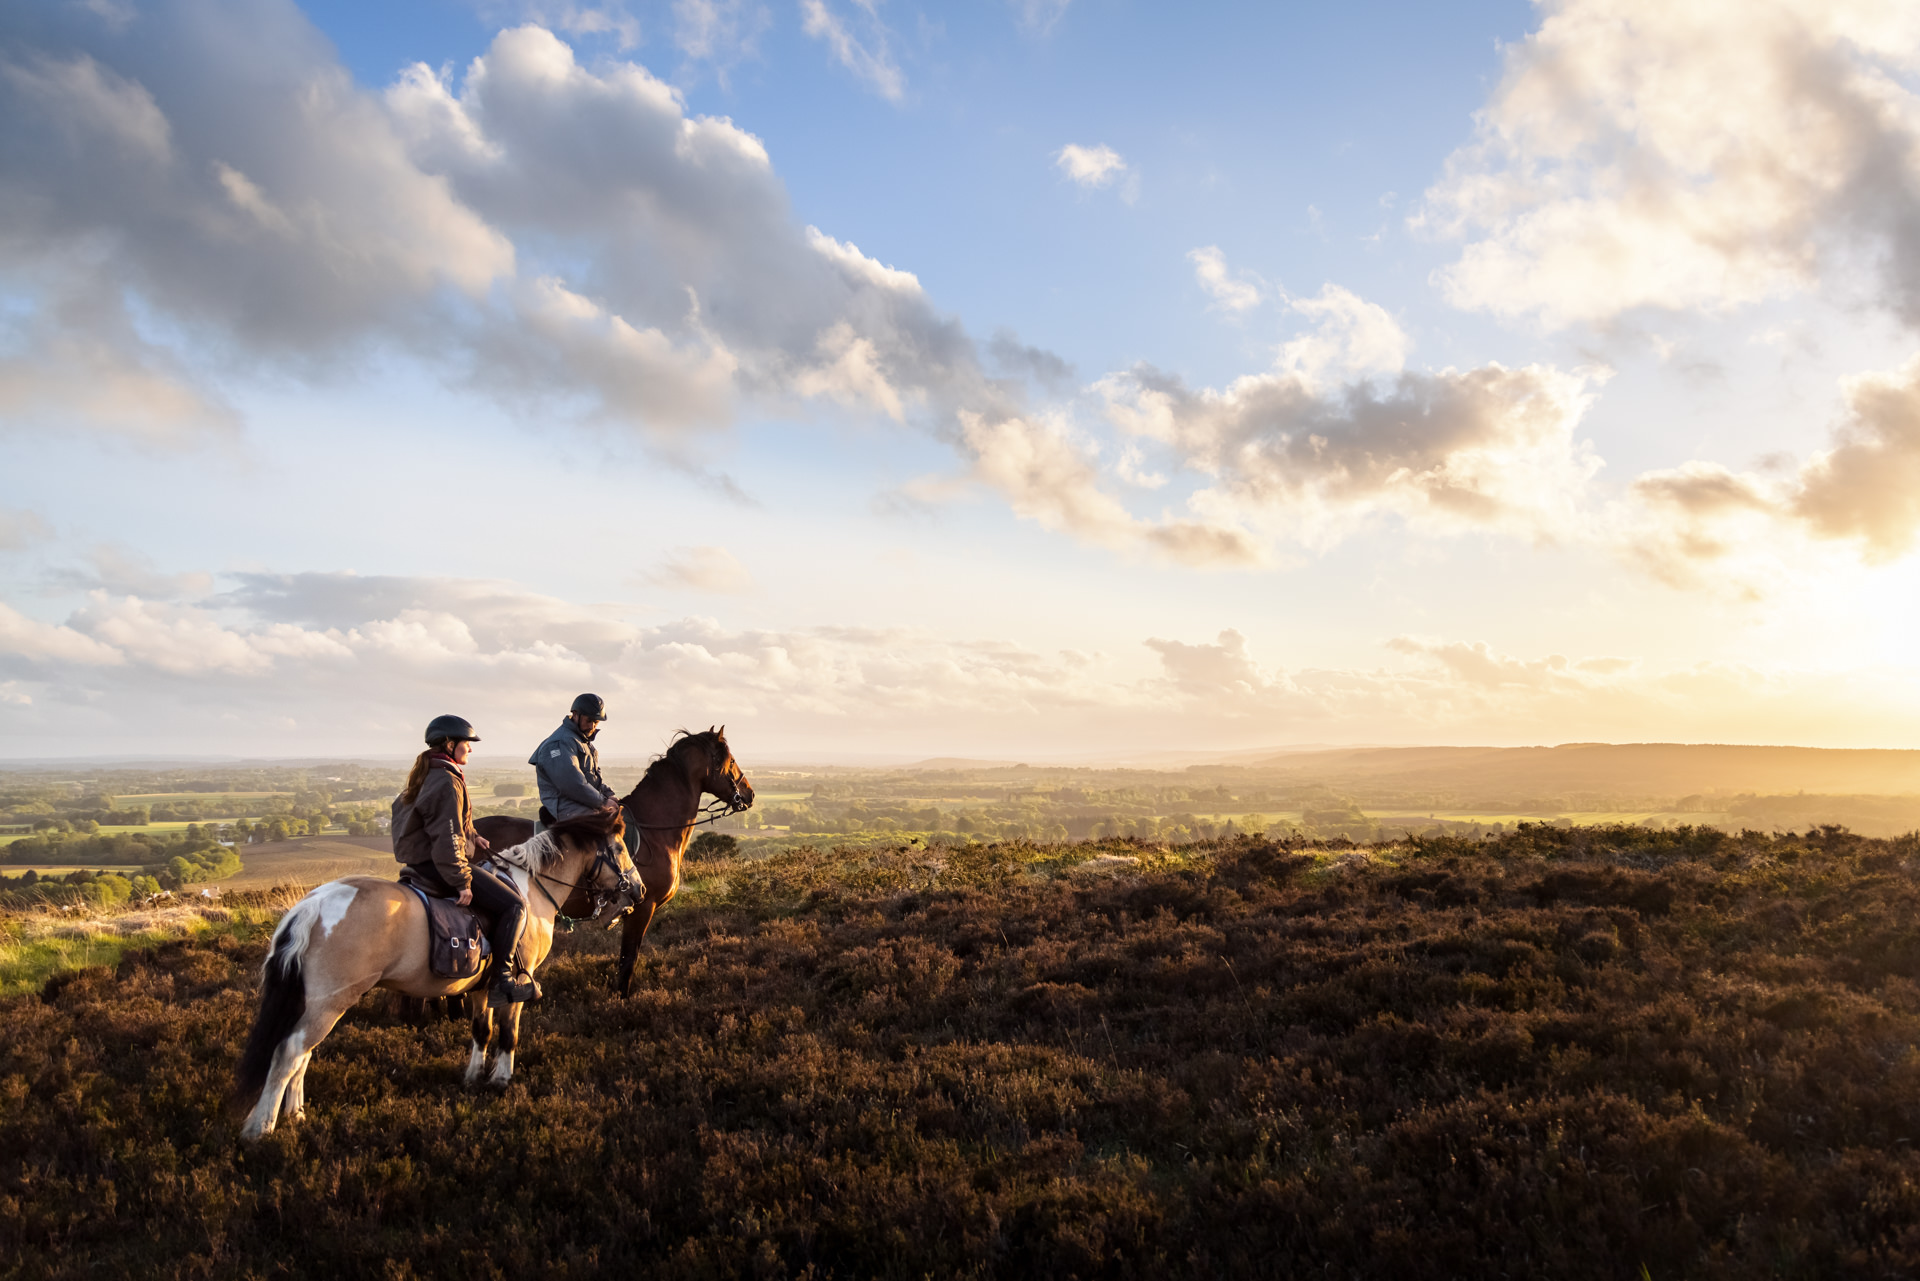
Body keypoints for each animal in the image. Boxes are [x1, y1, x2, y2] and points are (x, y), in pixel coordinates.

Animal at [232, 810, 637, 1144]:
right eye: (619, 848)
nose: (639, 888)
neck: (531, 891)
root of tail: (311, 905)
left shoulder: (481, 989)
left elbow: (481, 1031)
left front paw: (473, 1077)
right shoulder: (516, 986)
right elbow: (508, 1034)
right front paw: (501, 1079)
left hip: (318, 1005)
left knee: (301, 1054)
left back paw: (295, 1114)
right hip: (327, 1005)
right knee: (289, 1052)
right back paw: (260, 1127)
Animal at [476, 725, 752, 998]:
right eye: (731, 761)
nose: (749, 795)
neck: (653, 829)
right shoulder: (643, 907)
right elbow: (628, 958)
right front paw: (622, 999)